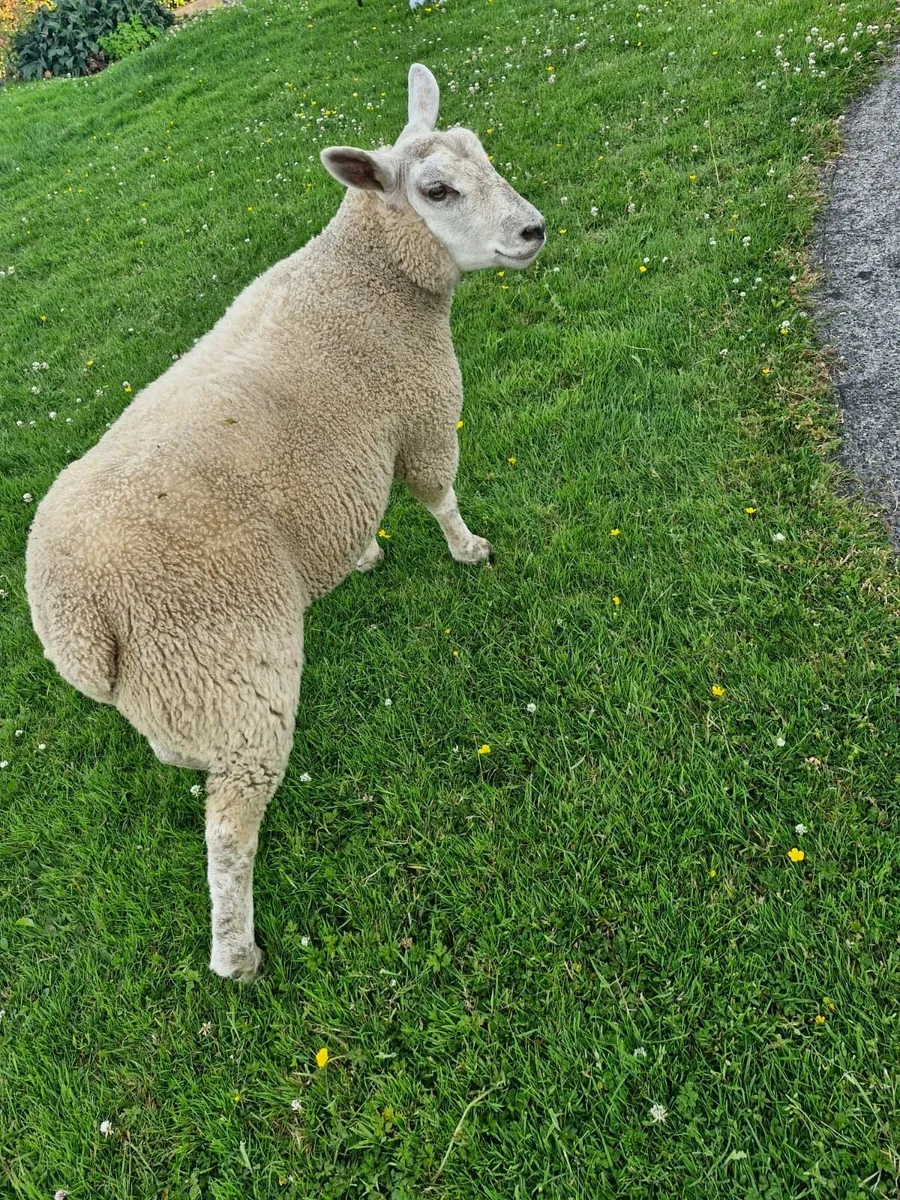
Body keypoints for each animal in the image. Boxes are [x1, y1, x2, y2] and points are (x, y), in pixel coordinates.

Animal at [25, 64, 545, 982]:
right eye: (436, 190)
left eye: (481, 153)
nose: (533, 230)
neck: (366, 279)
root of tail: (77, 627)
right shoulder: (422, 407)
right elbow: (437, 492)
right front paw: (468, 550)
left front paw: (364, 556)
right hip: (228, 669)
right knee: (230, 826)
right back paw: (237, 954)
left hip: (178, 689)